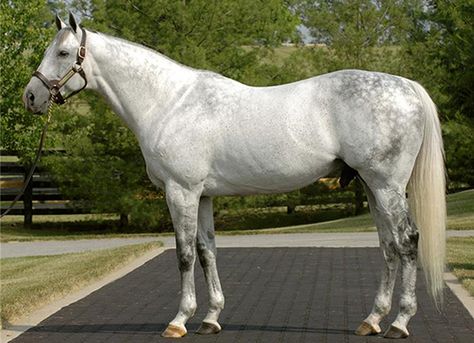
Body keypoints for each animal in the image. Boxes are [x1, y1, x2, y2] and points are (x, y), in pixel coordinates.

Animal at [22, 14, 444, 342]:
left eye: (62, 53)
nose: (30, 97)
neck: (168, 102)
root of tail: (407, 87)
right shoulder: (203, 195)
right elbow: (207, 251)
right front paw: (210, 319)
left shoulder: (181, 192)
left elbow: (184, 255)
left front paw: (179, 321)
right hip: (372, 187)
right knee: (389, 247)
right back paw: (372, 320)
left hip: (386, 186)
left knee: (408, 242)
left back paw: (400, 323)